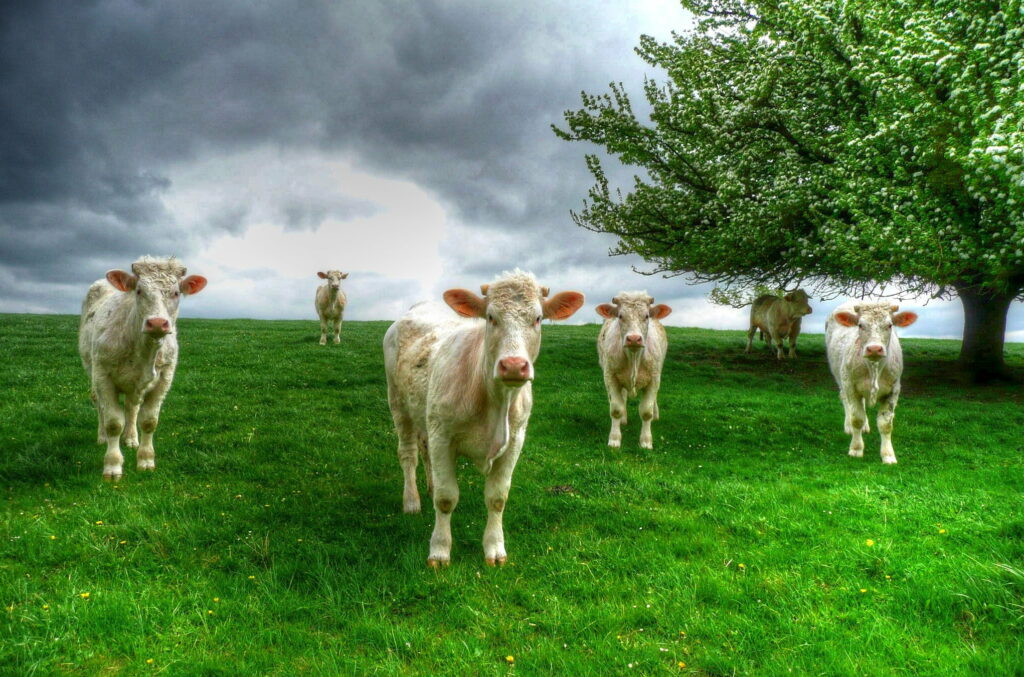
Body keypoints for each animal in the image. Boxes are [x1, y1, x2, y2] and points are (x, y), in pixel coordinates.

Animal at [78, 256, 207, 480]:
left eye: (176, 292)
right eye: (139, 291)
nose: (157, 323)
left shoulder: (164, 380)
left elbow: (149, 421)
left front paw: (146, 460)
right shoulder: (103, 376)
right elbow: (113, 422)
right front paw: (112, 466)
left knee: (132, 407)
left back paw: (131, 438)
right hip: (91, 369)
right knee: (99, 403)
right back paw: (102, 436)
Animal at [383, 270, 584, 567]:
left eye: (537, 318)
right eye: (491, 317)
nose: (513, 365)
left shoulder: (515, 440)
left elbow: (497, 497)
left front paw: (495, 549)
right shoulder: (443, 435)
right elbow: (446, 498)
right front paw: (439, 551)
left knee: (424, 450)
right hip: (398, 401)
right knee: (408, 453)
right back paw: (411, 501)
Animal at [595, 292, 672, 450]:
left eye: (647, 316)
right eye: (620, 316)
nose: (634, 338)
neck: (634, 357)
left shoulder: (654, 379)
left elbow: (646, 411)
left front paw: (646, 441)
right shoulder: (610, 377)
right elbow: (616, 409)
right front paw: (614, 439)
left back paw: (656, 415)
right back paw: (623, 419)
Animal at [825, 301, 918, 464]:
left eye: (890, 325)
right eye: (860, 325)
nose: (874, 348)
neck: (874, 369)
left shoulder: (894, 390)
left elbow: (885, 424)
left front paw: (888, 455)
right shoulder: (850, 385)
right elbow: (857, 418)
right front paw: (856, 449)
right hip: (839, 375)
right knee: (845, 399)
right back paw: (848, 426)